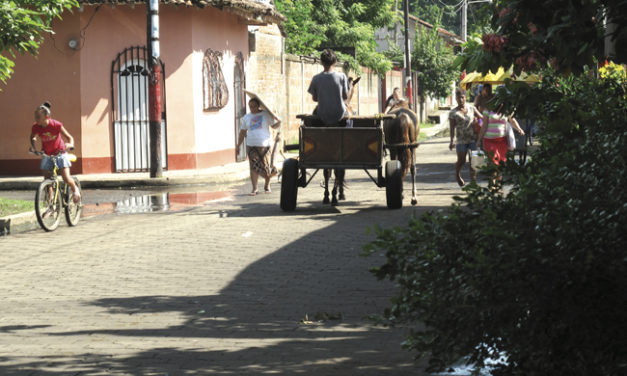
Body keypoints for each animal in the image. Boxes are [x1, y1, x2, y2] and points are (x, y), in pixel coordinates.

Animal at [322, 75, 360, 206]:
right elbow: (341, 171)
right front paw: (340, 193)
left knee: (327, 171)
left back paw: (326, 196)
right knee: (337, 170)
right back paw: (334, 196)